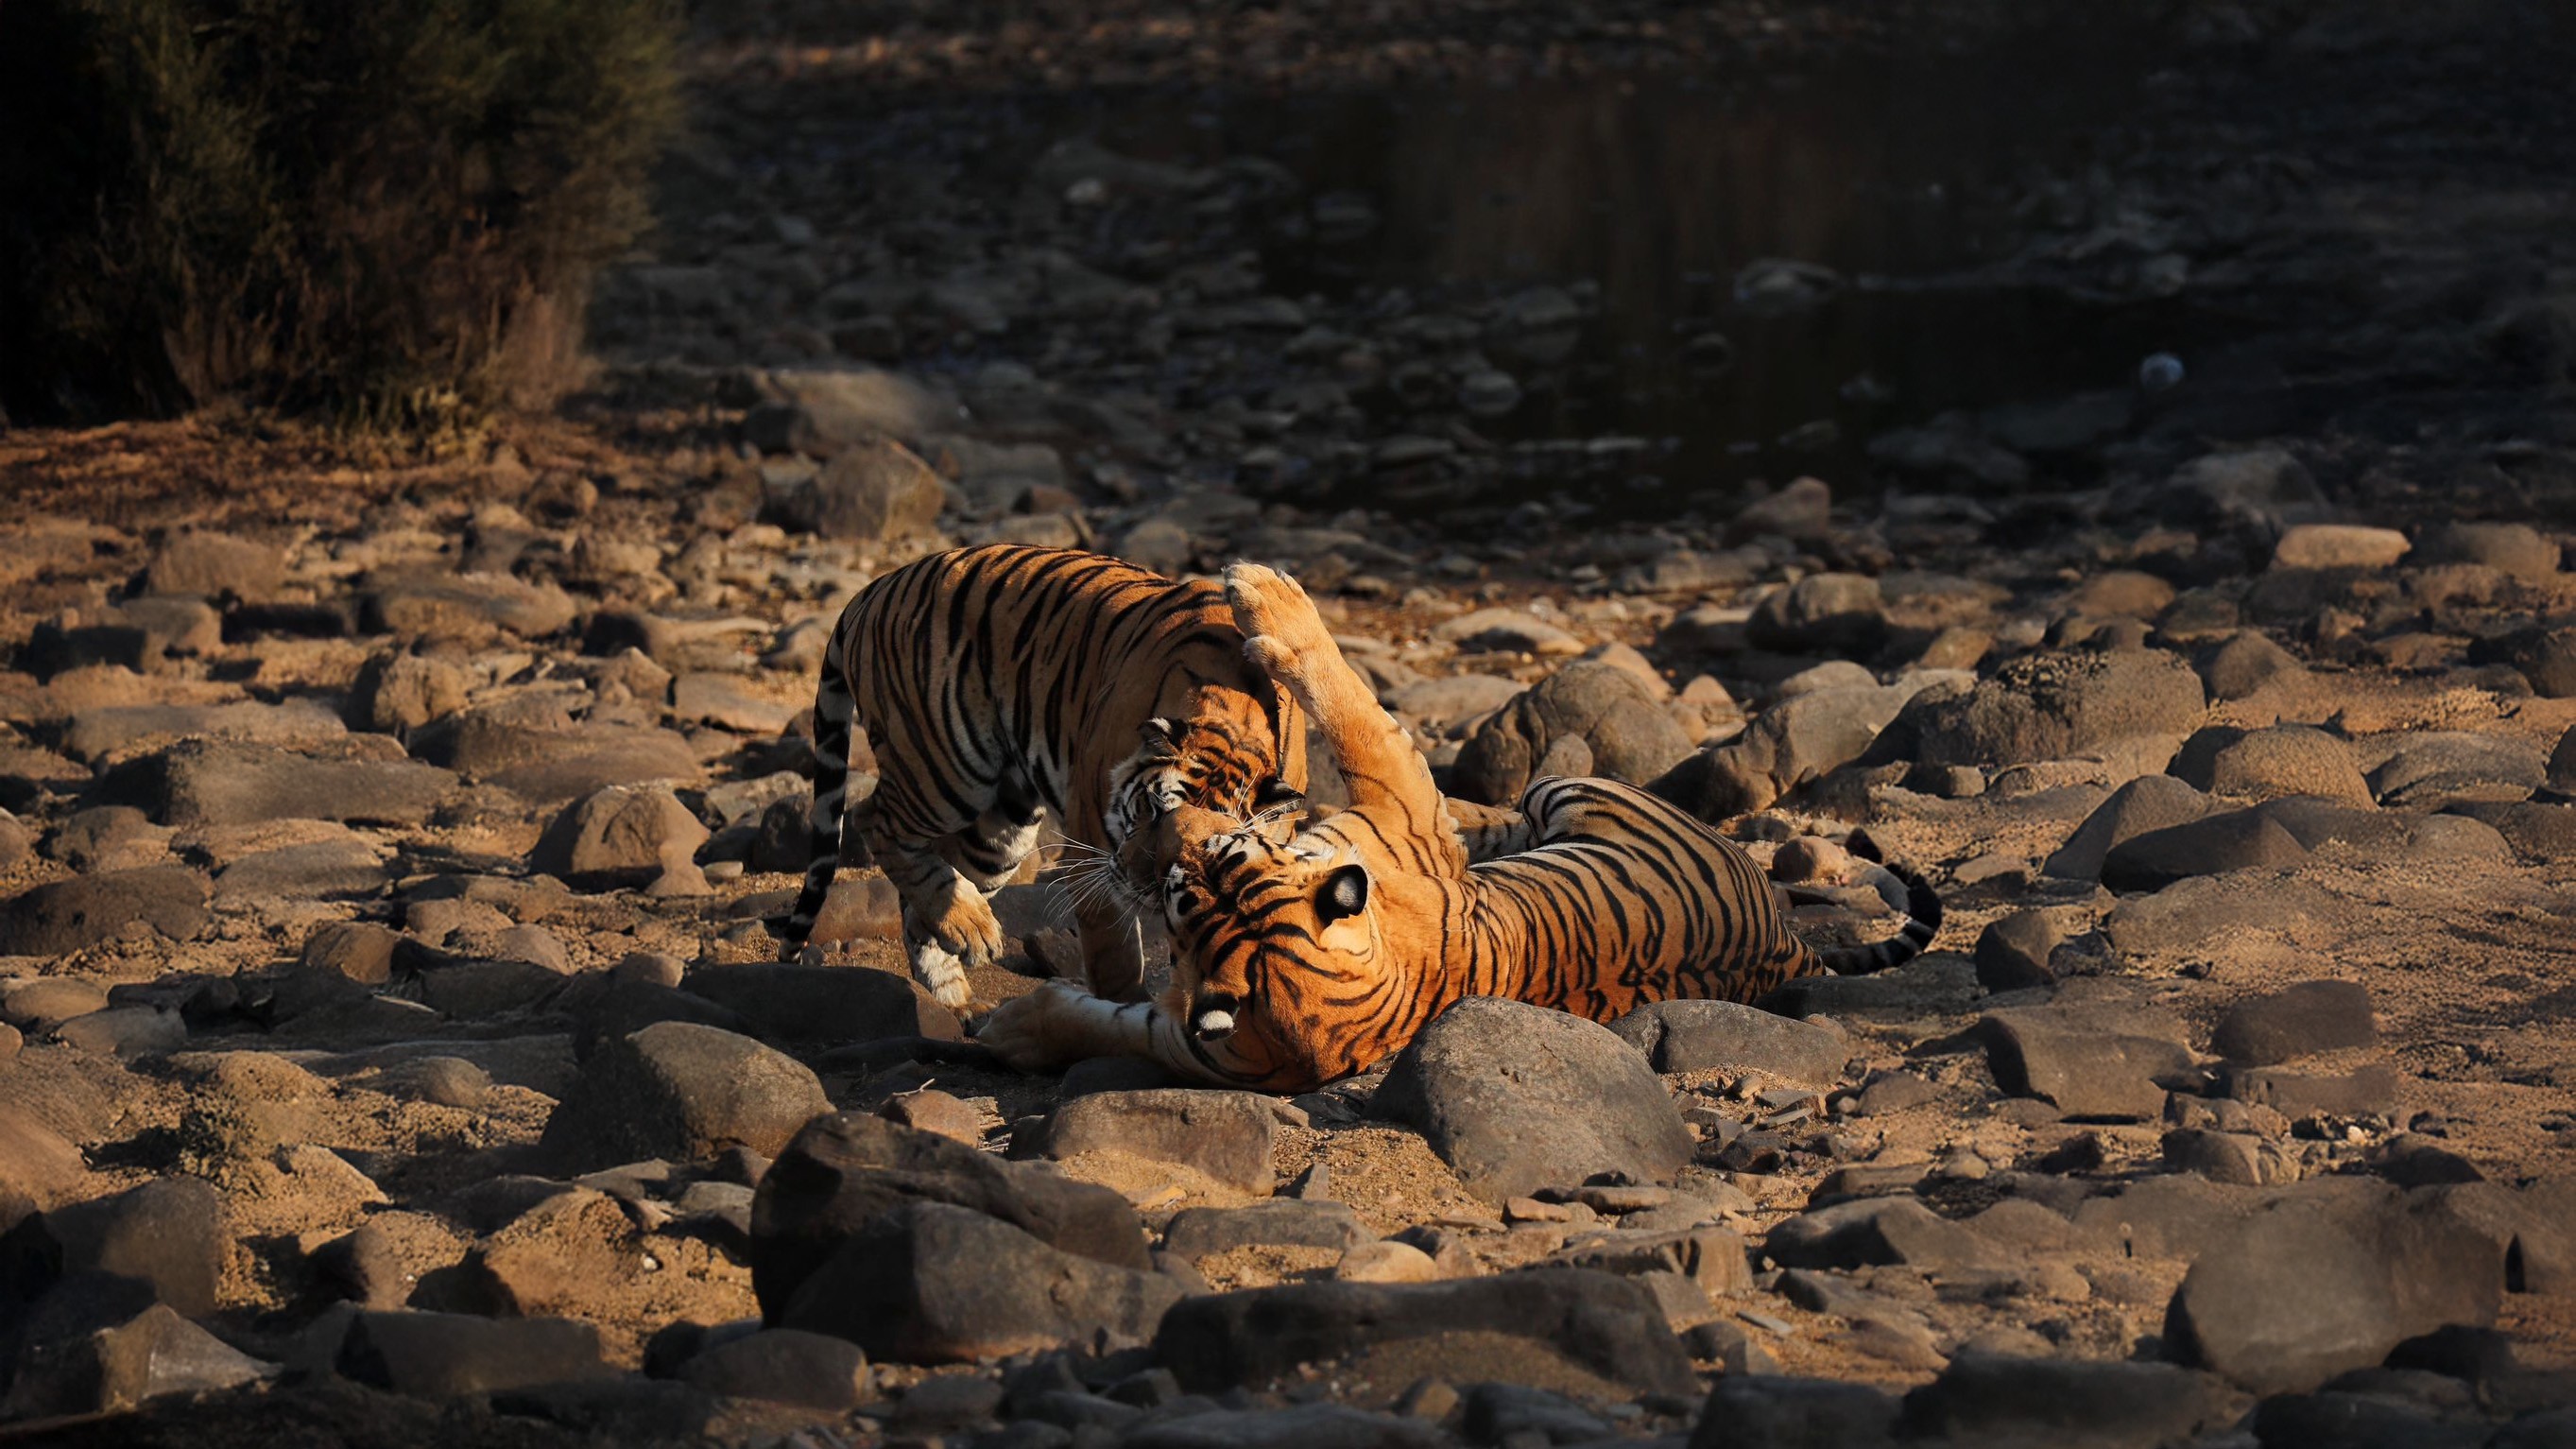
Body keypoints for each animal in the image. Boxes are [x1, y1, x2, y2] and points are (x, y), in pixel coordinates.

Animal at [773, 545, 1307, 1010]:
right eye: (1150, 808)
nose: (1135, 881)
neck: (1235, 721)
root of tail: (878, 586)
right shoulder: (1092, 847)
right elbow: (1115, 957)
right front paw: (1128, 1019)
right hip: (943, 769)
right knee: (872, 817)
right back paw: (970, 929)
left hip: (998, 833)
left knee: (918, 900)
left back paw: (958, 989)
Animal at [976, 561, 1940, 1091]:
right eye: (1187, 898)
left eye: (1229, 855)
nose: (1184, 852)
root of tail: (1791, 944)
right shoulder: (1185, 1036)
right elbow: (1101, 1022)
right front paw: (1023, 1031)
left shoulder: (1391, 795)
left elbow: (1348, 698)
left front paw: (1266, 595)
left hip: (1567, 787)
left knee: (1494, 810)